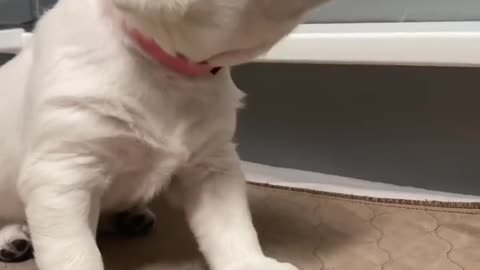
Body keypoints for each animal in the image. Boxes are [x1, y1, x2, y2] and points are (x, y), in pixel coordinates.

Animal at [0, 0, 326, 268]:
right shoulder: (63, 173)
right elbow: (76, 253)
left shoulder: (213, 166)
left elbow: (232, 227)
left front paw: (251, 263)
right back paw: (13, 237)